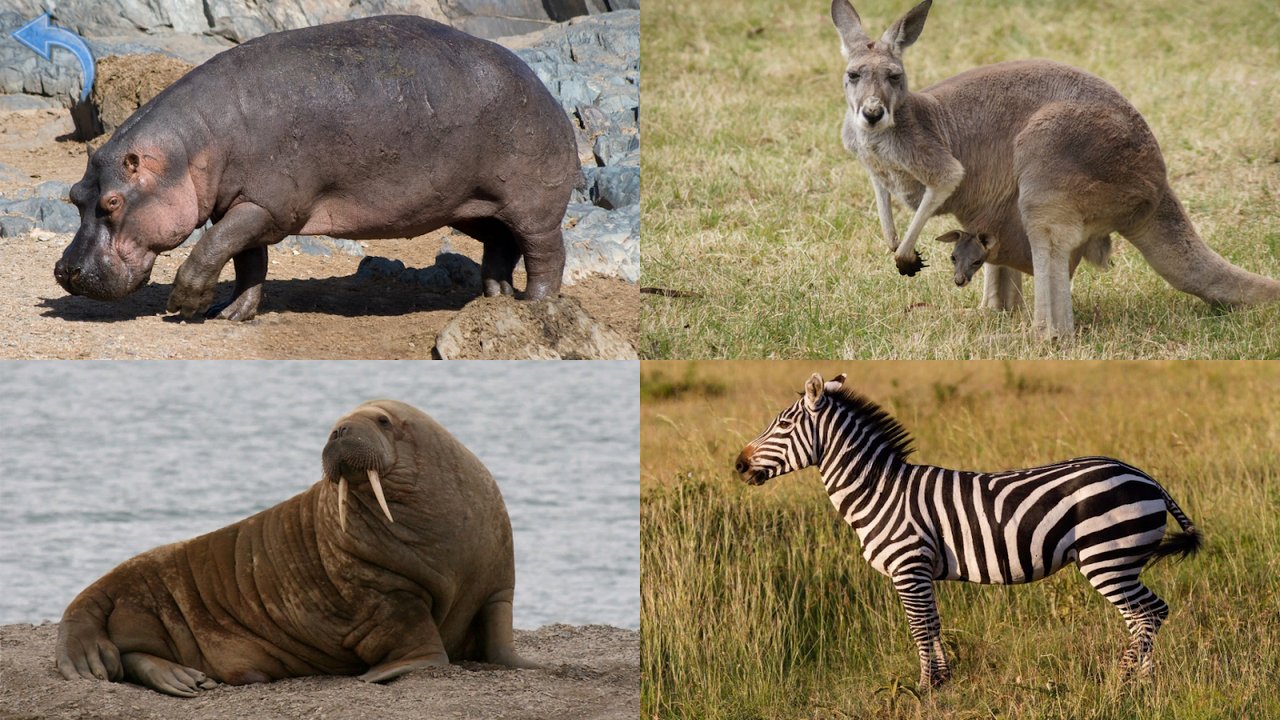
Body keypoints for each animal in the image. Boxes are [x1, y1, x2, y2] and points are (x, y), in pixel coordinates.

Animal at [733, 372, 1201, 689]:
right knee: (1142, 617)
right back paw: (1143, 683)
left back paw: (1123, 679)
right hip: (1118, 563)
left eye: (782, 426)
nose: (738, 464)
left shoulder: (909, 567)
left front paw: (924, 688)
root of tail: (1142, 474)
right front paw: (943, 681)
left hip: (1108, 558)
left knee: (1151, 612)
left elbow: (920, 628)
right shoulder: (922, 571)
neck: (879, 490)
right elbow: (934, 624)